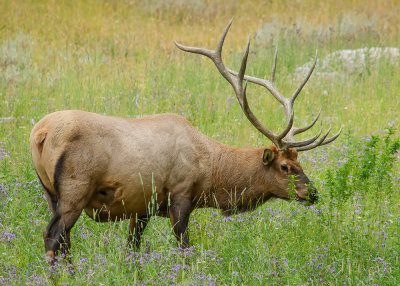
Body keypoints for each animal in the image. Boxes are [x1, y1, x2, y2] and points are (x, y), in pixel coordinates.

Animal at [29, 19, 340, 262]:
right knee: (53, 235)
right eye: (286, 167)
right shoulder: (180, 194)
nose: (312, 193)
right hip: (75, 187)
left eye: (300, 163)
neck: (211, 170)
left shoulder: (142, 206)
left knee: (64, 240)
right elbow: (185, 249)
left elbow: (131, 249)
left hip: (50, 192)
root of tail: (39, 134)